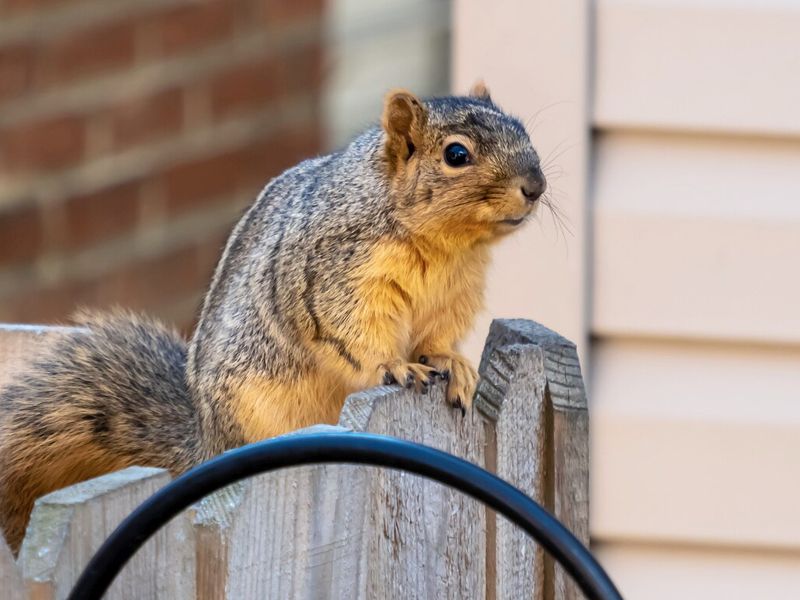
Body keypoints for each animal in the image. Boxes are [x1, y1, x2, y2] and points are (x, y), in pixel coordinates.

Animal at [0, 83, 546, 553]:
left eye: (523, 130)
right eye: (456, 155)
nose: (536, 186)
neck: (447, 246)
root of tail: (207, 443)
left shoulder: (454, 297)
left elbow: (437, 338)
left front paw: (452, 364)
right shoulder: (336, 276)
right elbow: (354, 334)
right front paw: (395, 366)